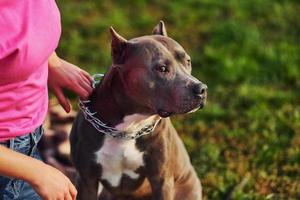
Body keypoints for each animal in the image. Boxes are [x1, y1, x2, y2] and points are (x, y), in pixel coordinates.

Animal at [70, 21, 206, 199]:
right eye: (162, 68)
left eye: (188, 61)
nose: (202, 89)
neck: (128, 128)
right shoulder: (87, 180)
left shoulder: (161, 180)